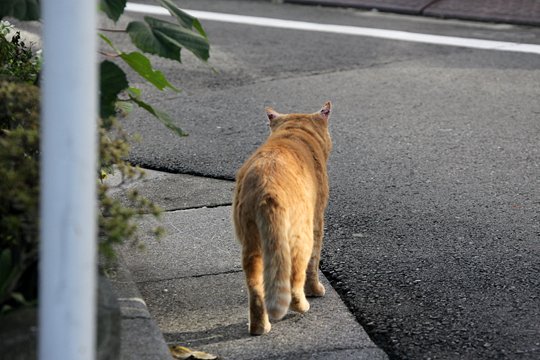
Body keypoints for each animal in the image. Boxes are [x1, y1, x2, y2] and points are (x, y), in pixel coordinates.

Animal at [233, 101, 332, 334]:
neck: (293, 135)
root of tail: (266, 188)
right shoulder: (318, 222)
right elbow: (314, 264)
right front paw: (315, 289)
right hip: (301, 239)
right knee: (295, 280)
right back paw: (303, 305)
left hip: (251, 246)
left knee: (256, 287)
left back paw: (260, 327)